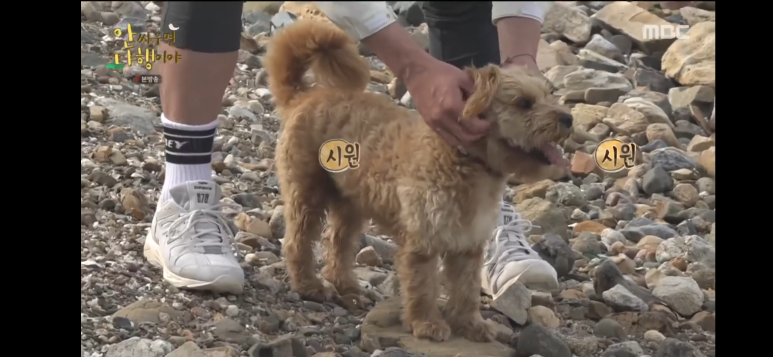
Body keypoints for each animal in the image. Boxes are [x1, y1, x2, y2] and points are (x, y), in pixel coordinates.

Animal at [266, 20, 572, 342]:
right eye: (523, 103)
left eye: (550, 94)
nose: (568, 119)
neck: (461, 161)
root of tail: (304, 96)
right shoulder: (422, 243)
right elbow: (423, 286)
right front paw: (427, 324)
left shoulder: (468, 246)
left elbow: (466, 290)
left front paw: (471, 325)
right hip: (307, 193)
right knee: (298, 242)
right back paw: (308, 285)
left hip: (351, 204)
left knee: (338, 244)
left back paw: (347, 286)